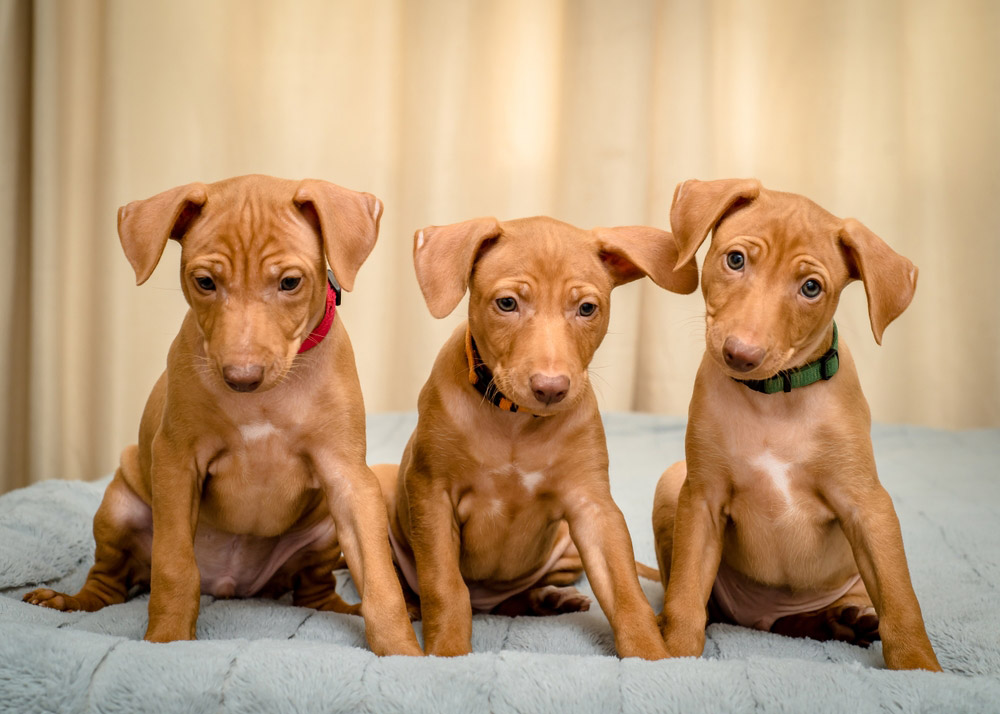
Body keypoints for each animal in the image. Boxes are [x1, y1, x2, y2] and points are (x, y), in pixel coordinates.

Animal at [22, 175, 422, 652]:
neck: (266, 398)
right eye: (205, 281)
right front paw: (167, 641)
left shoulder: (348, 479)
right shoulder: (176, 463)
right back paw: (68, 602)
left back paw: (345, 608)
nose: (241, 377)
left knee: (314, 591)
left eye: (290, 282)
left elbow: (380, 580)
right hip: (118, 508)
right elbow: (174, 567)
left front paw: (401, 650)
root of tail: (236, 586)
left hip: (324, 531)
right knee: (110, 583)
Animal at [372, 216, 700, 656]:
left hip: (566, 549)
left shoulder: (594, 508)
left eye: (586, 308)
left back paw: (548, 599)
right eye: (507, 304)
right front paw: (448, 654)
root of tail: (487, 601)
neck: (515, 421)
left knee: (514, 603)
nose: (551, 388)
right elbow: (444, 586)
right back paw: (410, 605)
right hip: (383, 484)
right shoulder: (432, 493)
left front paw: (650, 654)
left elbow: (626, 592)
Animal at [652, 177, 940, 668]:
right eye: (735, 260)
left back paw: (847, 621)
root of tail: (759, 620)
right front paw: (675, 653)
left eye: (810, 288)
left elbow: (901, 599)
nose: (740, 354)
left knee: (834, 614)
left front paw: (920, 667)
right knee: (704, 604)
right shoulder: (702, 499)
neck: (774, 403)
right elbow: (686, 595)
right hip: (673, 483)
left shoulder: (868, 505)